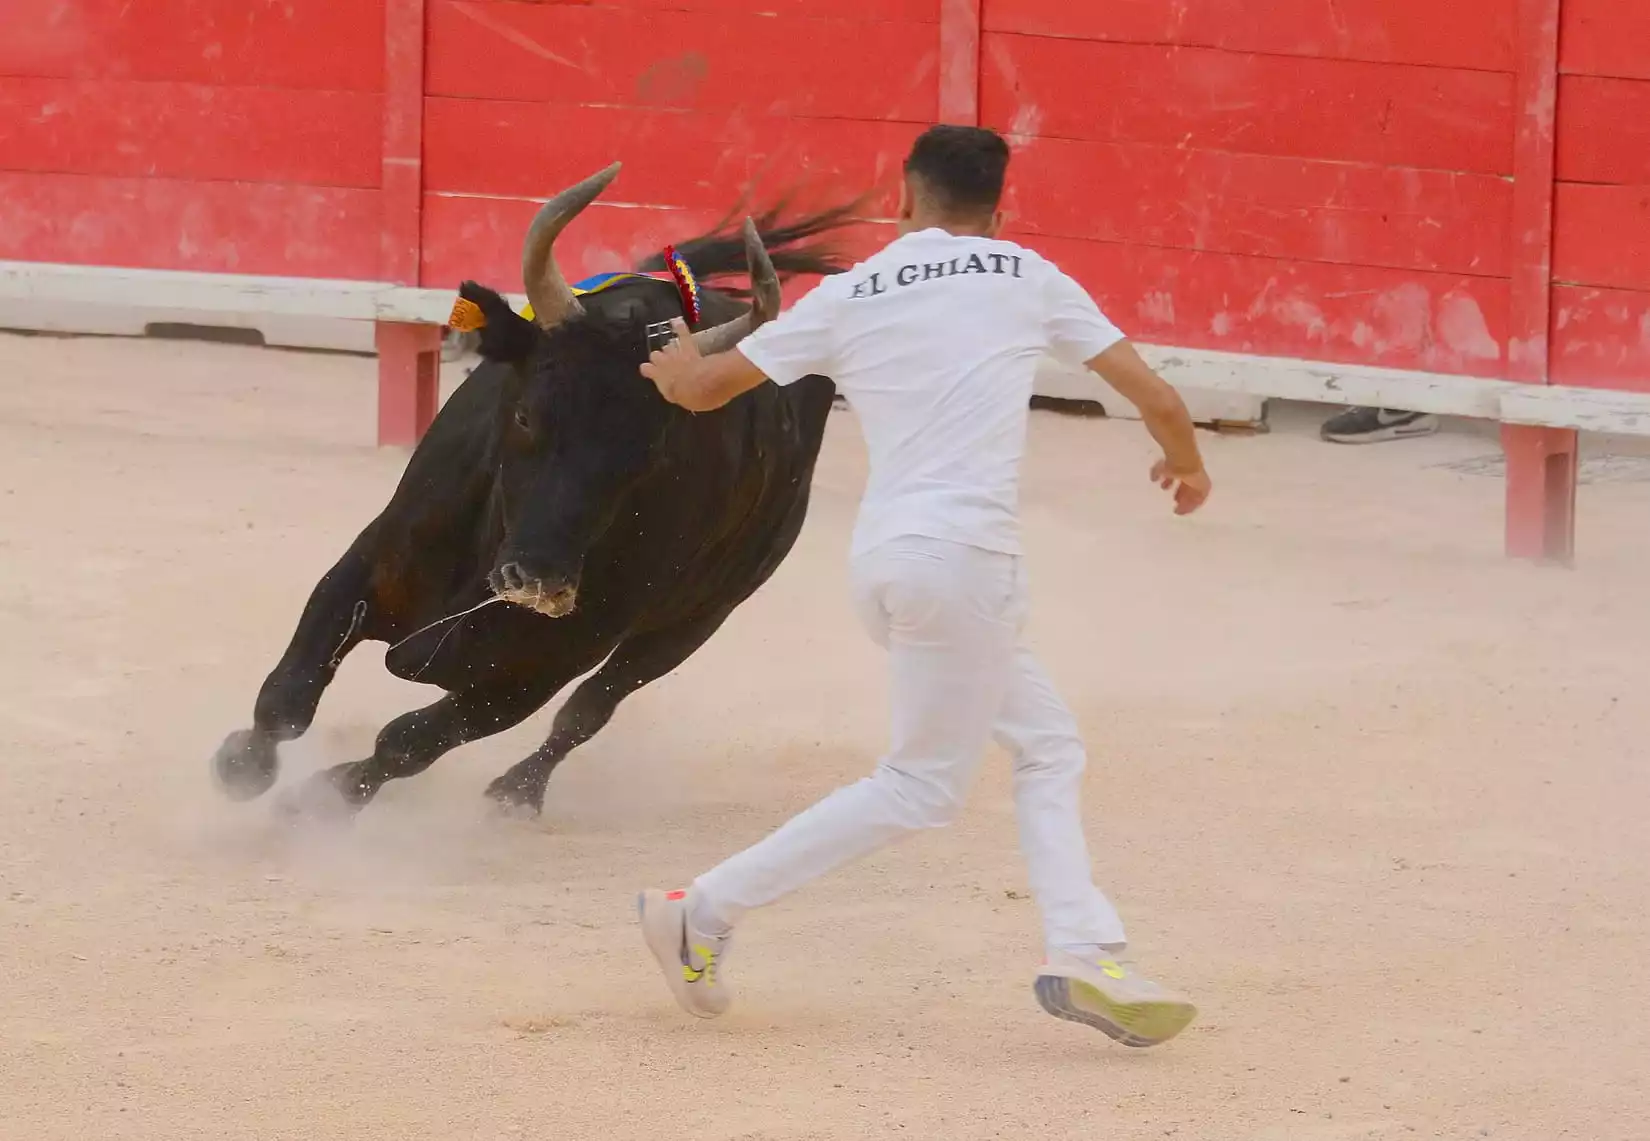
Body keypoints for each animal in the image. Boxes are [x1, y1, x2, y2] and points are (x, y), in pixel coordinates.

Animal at [214, 164, 864, 814]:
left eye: (650, 451)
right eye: (525, 415)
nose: (538, 582)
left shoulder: (532, 675)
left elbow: (408, 742)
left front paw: (319, 800)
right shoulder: (368, 566)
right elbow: (289, 695)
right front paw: (241, 766)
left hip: (695, 622)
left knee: (589, 709)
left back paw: (517, 792)